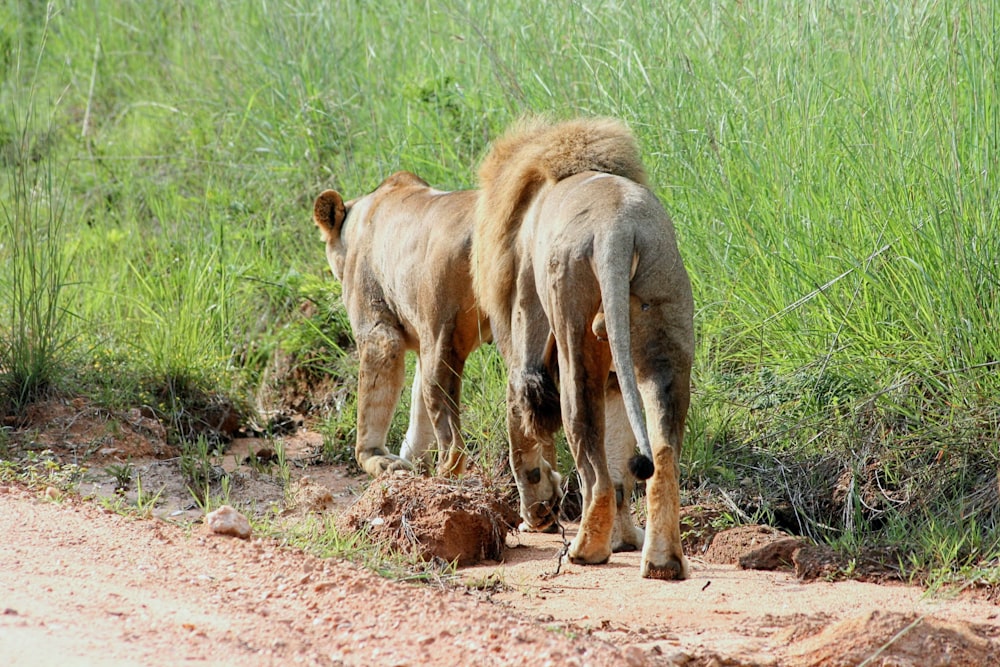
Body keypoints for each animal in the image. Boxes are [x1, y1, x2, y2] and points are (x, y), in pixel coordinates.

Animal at [308, 170, 488, 478]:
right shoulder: (418, 340)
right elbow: (417, 408)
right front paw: (413, 462)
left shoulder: (378, 330)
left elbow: (373, 403)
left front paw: (376, 459)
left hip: (441, 336)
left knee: (451, 437)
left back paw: (444, 478)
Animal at [474, 116, 696, 580]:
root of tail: (618, 227)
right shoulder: (614, 382)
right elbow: (621, 464)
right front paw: (624, 539)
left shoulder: (525, 348)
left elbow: (523, 439)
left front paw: (537, 513)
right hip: (664, 341)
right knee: (660, 456)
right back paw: (662, 561)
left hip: (572, 336)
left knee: (594, 468)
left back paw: (585, 550)